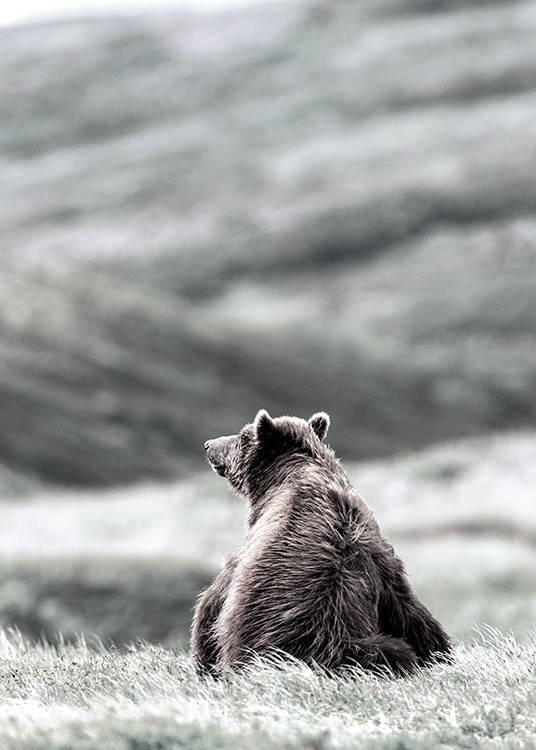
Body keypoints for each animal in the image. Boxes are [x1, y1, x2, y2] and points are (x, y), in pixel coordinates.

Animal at [191, 410, 451, 676]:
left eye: (243, 436)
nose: (208, 444)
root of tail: (332, 641)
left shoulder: (252, 548)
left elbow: (213, 601)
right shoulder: (380, 552)